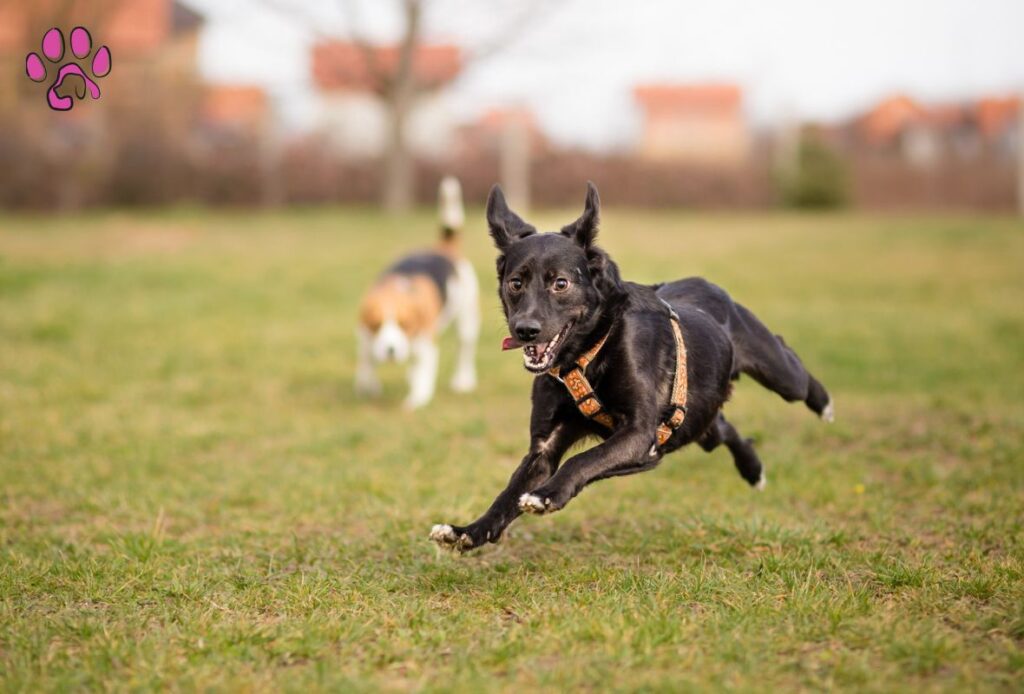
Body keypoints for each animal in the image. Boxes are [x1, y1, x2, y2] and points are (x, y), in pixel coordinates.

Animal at [356, 177, 479, 411]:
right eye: (376, 325)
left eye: (405, 325)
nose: (391, 350)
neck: (397, 289)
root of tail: (444, 249)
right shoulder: (365, 337)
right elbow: (367, 364)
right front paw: (368, 386)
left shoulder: (425, 345)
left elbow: (423, 374)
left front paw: (416, 401)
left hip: (467, 320)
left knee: (464, 350)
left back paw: (462, 381)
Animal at [430, 182, 831, 552]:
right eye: (515, 283)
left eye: (560, 283)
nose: (525, 329)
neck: (587, 354)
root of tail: (705, 283)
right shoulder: (545, 447)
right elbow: (509, 493)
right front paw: (469, 531)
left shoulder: (639, 435)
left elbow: (582, 461)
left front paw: (545, 496)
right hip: (698, 422)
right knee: (725, 429)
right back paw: (753, 470)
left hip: (778, 371)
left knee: (792, 366)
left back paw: (824, 404)